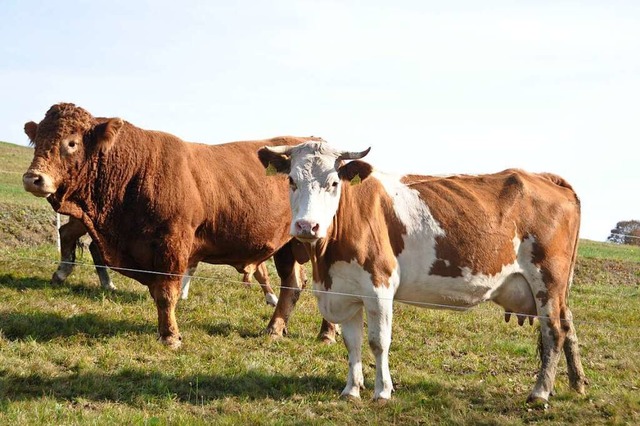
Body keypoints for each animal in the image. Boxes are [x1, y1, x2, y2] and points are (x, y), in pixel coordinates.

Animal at [258, 141, 584, 404]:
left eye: (334, 182)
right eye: (291, 180)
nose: (307, 226)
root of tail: (543, 177)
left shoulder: (379, 286)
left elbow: (379, 341)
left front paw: (382, 391)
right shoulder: (345, 289)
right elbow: (353, 342)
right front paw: (351, 390)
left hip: (548, 280)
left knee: (553, 332)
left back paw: (540, 393)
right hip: (557, 289)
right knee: (567, 326)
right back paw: (576, 384)